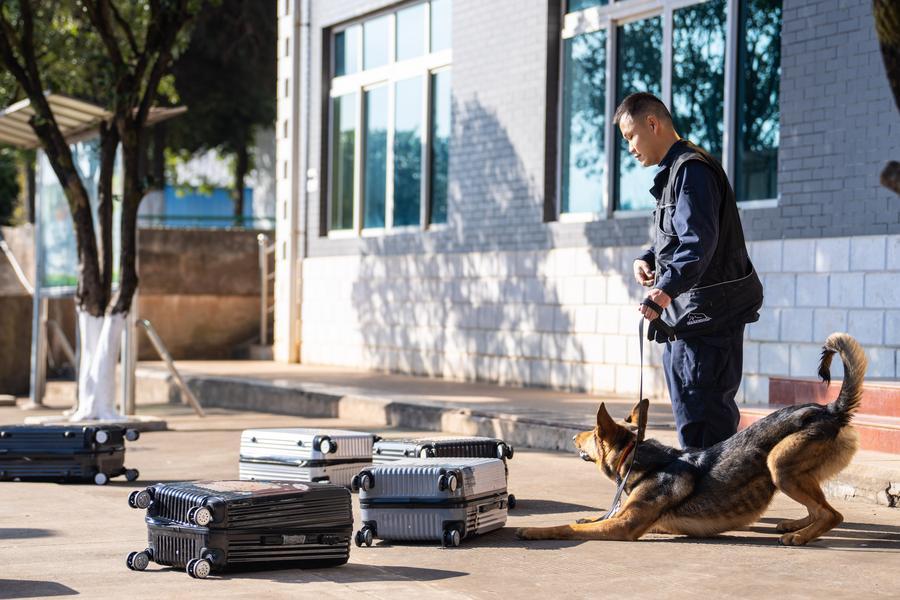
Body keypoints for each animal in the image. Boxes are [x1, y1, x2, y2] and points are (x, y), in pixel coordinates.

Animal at [516, 332, 866, 546]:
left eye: (591, 432)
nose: (575, 436)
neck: (637, 459)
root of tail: (829, 408)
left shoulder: (625, 526)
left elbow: (570, 527)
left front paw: (534, 530)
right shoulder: (635, 519)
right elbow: (593, 517)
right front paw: (587, 514)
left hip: (778, 462)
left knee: (832, 514)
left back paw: (800, 536)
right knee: (819, 509)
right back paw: (796, 525)